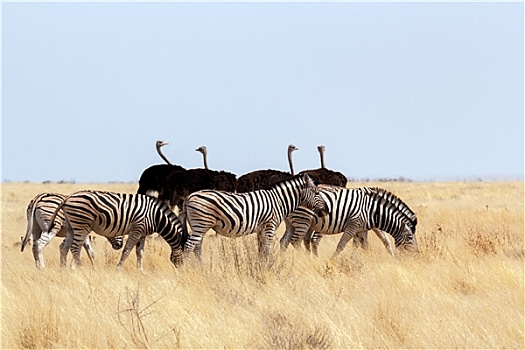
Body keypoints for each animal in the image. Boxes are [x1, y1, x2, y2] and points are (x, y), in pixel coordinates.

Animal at [47, 190, 186, 270]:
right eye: (185, 255)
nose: (183, 271)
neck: (156, 216)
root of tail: (68, 198)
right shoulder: (137, 229)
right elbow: (127, 251)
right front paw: (118, 269)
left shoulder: (143, 234)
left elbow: (140, 253)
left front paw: (140, 271)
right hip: (81, 224)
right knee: (75, 248)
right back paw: (80, 269)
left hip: (72, 226)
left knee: (65, 248)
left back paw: (64, 269)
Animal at [182, 174, 326, 258]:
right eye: (317, 193)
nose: (326, 211)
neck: (278, 201)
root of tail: (189, 196)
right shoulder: (270, 226)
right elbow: (266, 250)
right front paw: (268, 268)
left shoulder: (261, 229)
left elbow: (261, 250)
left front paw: (260, 267)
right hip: (201, 224)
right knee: (188, 246)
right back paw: (188, 270)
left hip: (199, 226)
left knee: (197, 248)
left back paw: (200, 268)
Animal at [278, 186, 418, 258]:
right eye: (410, 237)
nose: (417, 255)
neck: (373, 210)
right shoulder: (354, 225)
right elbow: (342, 245)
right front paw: (333, 260)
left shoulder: (362, 228)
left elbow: (366, 244)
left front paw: (367, 259)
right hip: (303, 220)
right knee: (296, 241)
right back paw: (305, 259)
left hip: (293, 223)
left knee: (284, 241)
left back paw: (283, 260)